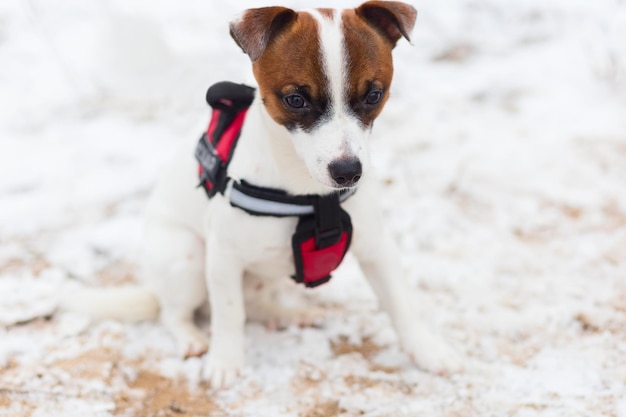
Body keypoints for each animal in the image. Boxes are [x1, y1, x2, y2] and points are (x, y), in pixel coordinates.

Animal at [66, 1, 460, 388]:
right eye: (296, 99)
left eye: (374, 95)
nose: (348, 171)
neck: (308, 192)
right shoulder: (223, 257)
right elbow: (228, 313)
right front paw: (225, 361)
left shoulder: (376, 248)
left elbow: (400, 304)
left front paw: (427, 350)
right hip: (186, 257)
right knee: (174, 312)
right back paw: (191, 336)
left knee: (254, 304)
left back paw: (286, 314)